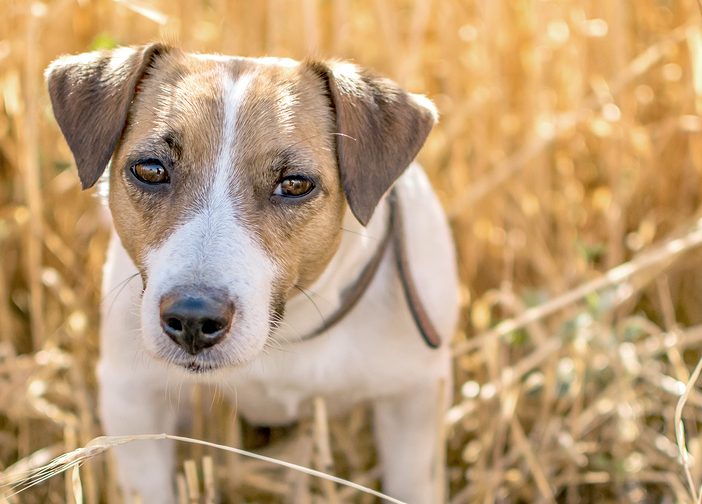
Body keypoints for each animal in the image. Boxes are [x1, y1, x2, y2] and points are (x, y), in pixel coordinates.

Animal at [45, 45, 462, 502]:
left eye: (295, 184)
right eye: (151, 169)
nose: (192, 319)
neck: (285, 333)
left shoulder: (414, 400)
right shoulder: (132, 398)